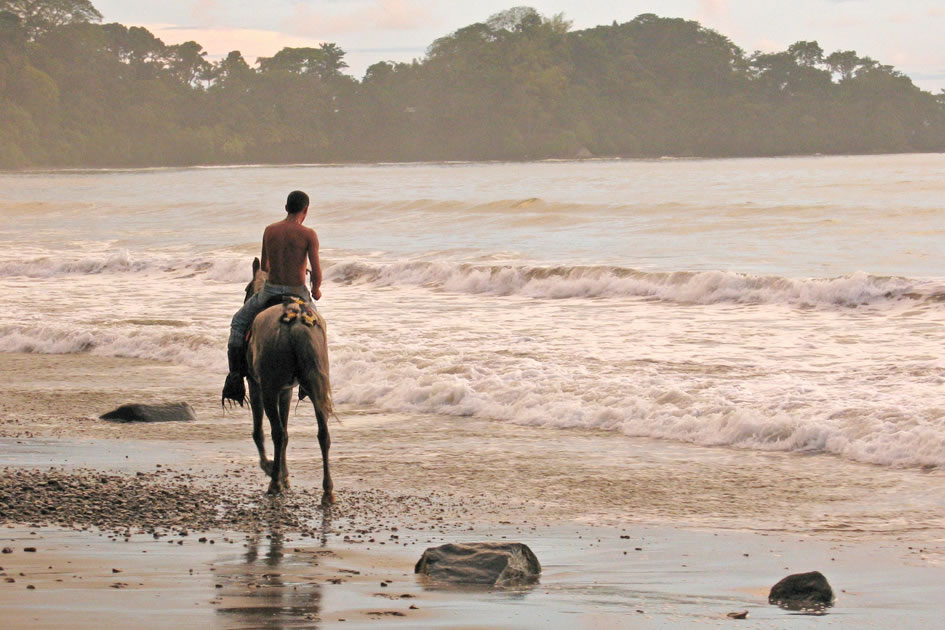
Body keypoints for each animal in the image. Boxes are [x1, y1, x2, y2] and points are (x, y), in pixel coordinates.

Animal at [242, 258, 334, 504]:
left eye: (246, 289)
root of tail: (295, 320)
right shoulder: (286, 390)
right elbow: (286, 432)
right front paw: (284, 474)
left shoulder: (257, 386)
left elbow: (260, 431)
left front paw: (273, 470)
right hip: (315, 387)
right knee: (323, 435)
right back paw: (327, 491)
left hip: (268, 388)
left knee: (277, 433)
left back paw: (274, 482)